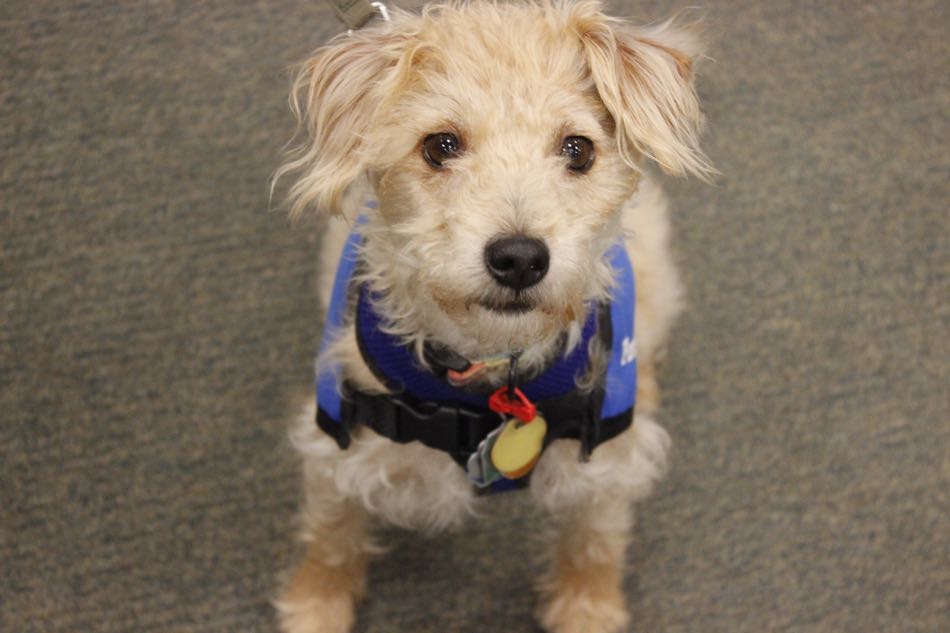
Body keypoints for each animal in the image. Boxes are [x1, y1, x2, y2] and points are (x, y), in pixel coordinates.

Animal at [272, 1, 712, 632]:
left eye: (578, 148)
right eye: (440, 145)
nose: (520, 258)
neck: (490, 374)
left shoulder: (604, 466)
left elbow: (592, 544)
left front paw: (586, 611)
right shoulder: (337, 445)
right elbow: (332, 536)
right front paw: (316, 605)